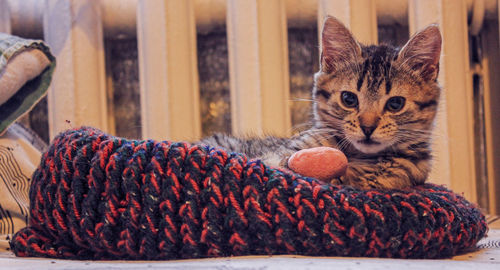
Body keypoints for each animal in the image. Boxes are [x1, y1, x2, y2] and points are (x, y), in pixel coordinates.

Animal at [199, 16, 442, 190]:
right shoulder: (279, 153)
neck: (358, 155)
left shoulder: (410, 167)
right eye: (348, 99)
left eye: (395, 104)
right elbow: (278, 162)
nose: (367, 127)